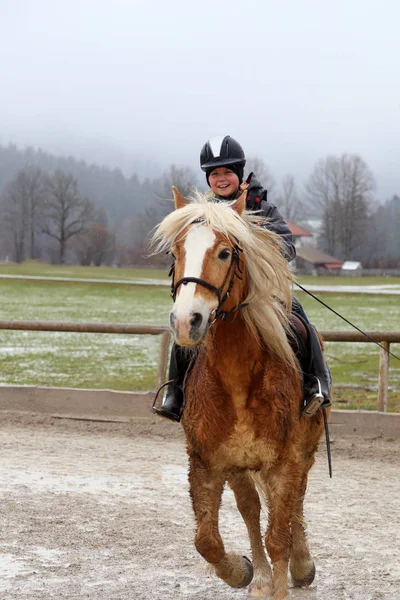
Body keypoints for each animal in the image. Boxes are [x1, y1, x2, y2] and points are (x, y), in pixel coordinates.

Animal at [150, 189, 328, 600]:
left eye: (225, 253)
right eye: (175, 252)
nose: (187, 321)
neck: (236, 380)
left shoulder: (285, 462)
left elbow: (279, 536)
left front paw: (281, 579)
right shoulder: (209, 462)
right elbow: (207, 541)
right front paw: (243, 571)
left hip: (305, 452)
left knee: (295, 505)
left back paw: (302, 565)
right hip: (241, 467)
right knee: (251, 510)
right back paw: (260, 575)